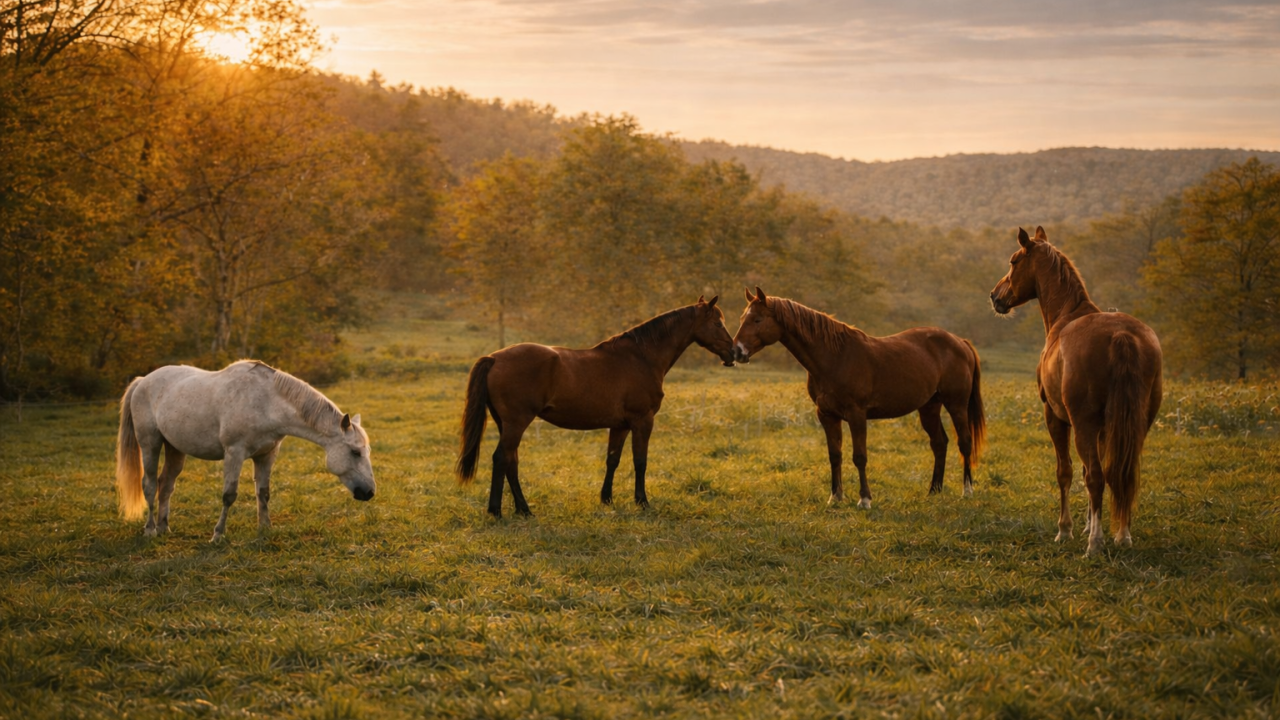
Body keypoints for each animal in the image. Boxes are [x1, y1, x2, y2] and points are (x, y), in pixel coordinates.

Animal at [115, 360, 375, 541]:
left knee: (166, 484)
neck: (268, 403)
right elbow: (229, 495)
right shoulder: (235, 453)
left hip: (175, 449)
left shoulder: (267, 455)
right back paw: (150, 530)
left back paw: (164, 527)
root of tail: (142, 381)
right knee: (149, 485)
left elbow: (264, 493)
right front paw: (218, 534)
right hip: (150, 444)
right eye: (355, 452)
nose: (369, 492)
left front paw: (265, 529)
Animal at [456, 296, 737, 518]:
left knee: (511, 461)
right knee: (502, 459)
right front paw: (642, 501)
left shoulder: (620, 425)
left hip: (506, 424)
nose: (734, 352)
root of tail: (494, 357)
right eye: (718, 323)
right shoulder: (643, 421)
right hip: (517, 422)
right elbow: (640, 461)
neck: (641, 357)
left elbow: (612, 459)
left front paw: (607, 499)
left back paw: (524, 510)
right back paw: (496, 511)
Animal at [731, 288, 986, 508]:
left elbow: (859, 456)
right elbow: (835, 455)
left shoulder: (856, 415)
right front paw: (835, 497)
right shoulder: (827, 415)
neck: (834, 358)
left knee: (964, 442)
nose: (736, 352)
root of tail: (960, 342)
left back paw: (967, 490)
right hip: (929, 407)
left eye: (757, 320)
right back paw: (934, 491)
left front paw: (864, 499)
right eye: (743, 317)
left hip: (956, 404)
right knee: (939, 443)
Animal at [990, 226, 1162, 556]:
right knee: (1122, 473)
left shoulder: (1056, 418)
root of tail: (1121, 336)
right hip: (1137, 424)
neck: (1066, 317)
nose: (995, 296)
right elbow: (1097, 472)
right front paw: (1088, 525)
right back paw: (1122, 535)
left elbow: (1067, 472)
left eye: (1014, 261)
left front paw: (1067, 530)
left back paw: (1095, 544)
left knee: (1096, 476)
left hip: (1081, 424)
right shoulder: (1106, 427)